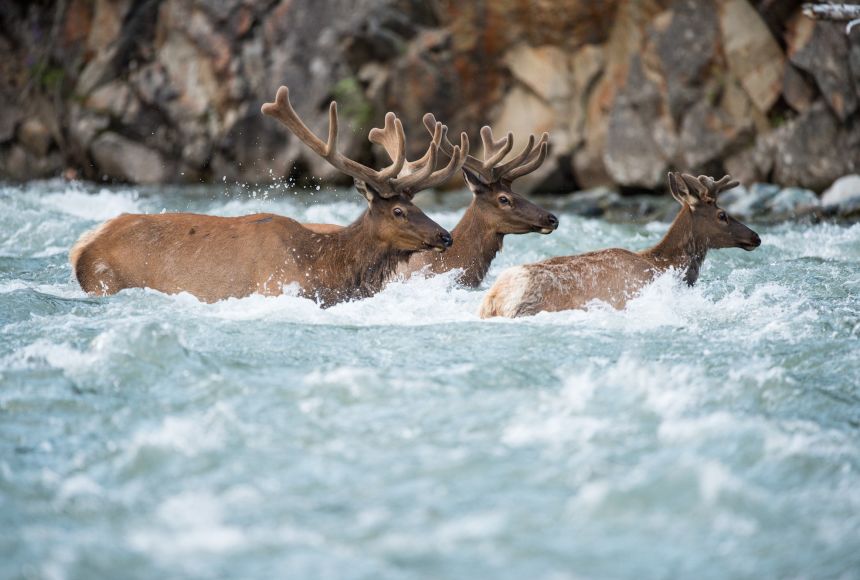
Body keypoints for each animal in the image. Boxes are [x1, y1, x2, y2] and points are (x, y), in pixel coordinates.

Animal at [70, 86, 466, 306]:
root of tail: (81, 246)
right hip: (105, 279)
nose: (445, 236)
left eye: (415, 205)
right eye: (398, 211)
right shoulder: (274, 285)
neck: (321, 267)